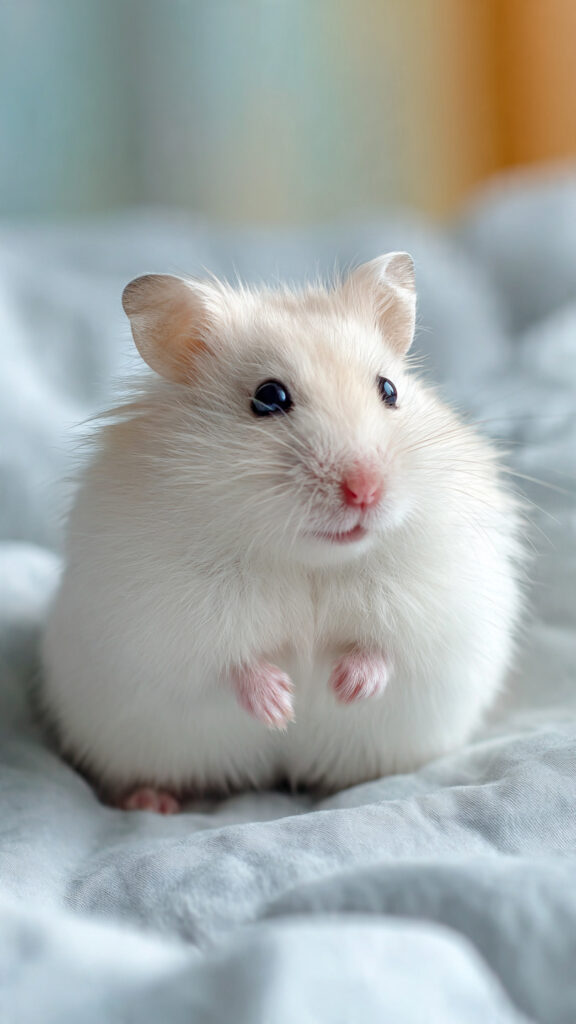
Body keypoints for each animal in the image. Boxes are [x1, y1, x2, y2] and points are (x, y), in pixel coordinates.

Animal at [41, 253, 525, 814]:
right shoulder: (172, 617)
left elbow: (385, 647)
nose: (365, 490)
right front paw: (282, 707)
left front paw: (343, 689)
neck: (310, 560)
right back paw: (151, 802)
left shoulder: (437, 590)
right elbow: (232, 664)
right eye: (268, 397)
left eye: (389, 390)